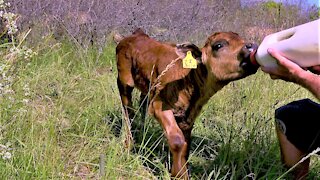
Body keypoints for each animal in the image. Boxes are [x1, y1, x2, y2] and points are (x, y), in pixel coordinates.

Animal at [115, 28, 258, 179]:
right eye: (218, 45)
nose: (253, 46)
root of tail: (135, 35)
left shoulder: (188, 118)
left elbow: (186, 146)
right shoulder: (159, 106)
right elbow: (178, 141)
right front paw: (178, 174)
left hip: (147, 86)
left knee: (142, 102)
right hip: (124, 80)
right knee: (128, 110)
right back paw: (129, 143)